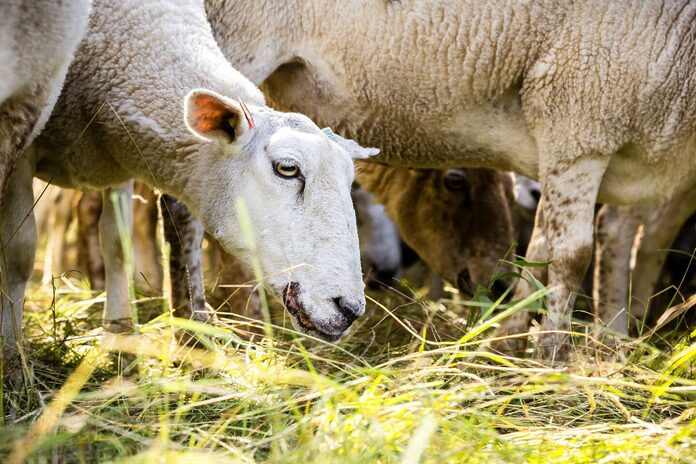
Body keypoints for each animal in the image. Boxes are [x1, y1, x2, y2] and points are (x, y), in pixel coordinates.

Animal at [1, 0, 380, 358]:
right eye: (287, 168)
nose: (349, 309)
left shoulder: (117, 156)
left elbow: (117, 243)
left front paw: (119, 333)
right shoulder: (25, 139)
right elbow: (20, 252)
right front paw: (12, 351)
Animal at [205, 0, 696, 360]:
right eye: (455, 182)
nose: (493, 288)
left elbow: (554, 249)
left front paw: (511, 348)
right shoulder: (581, 116)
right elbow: (568, 255)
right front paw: (546, 359)